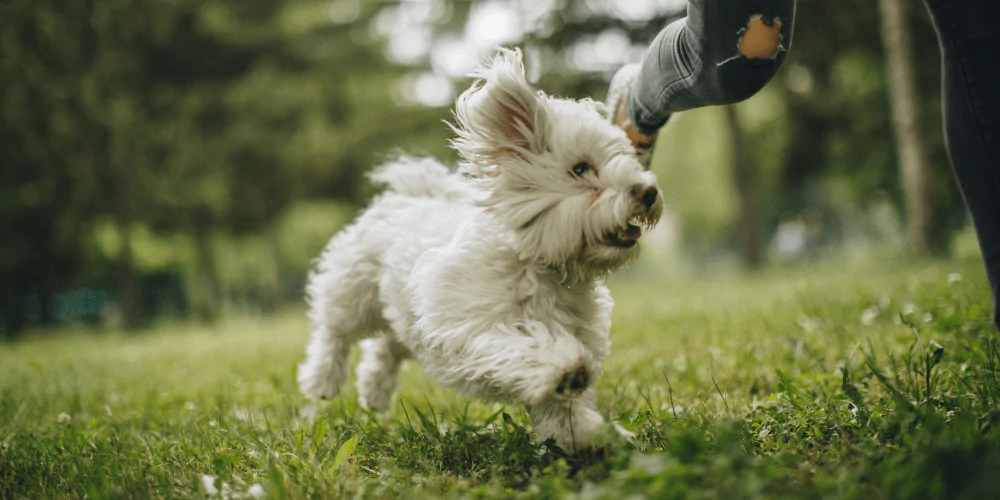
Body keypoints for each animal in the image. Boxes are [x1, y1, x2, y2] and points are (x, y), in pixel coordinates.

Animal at [298, 48, 656, 452]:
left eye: (627, 159)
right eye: (580, 168)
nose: (648, 191)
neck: (537, 264)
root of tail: (414, 194)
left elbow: (564, 410)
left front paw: (589, 433)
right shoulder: (470, 330)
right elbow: (521, 348)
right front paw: (564, 370)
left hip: (405, 313)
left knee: (387, 345)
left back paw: (374, 392)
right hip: (354, 292)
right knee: (333, 333)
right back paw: (322, 381)